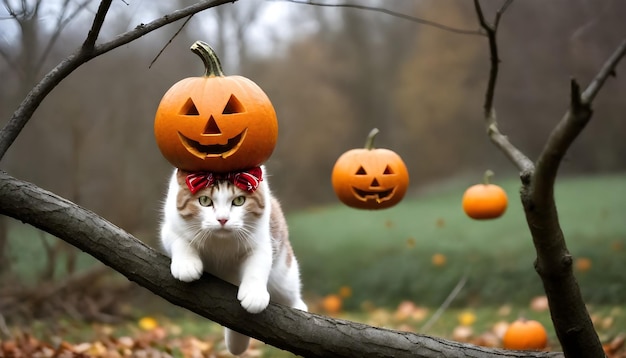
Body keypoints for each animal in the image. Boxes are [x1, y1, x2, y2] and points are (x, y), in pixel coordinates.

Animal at [157, 166, 306, 356]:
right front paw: (186, 264)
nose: (222, 219)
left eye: (239, 201)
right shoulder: (170, 228)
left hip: (283, 276)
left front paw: (254, 294)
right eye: (204, 200)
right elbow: (180, 240)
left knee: (293, 296)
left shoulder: (261, 242)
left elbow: (257, 265)